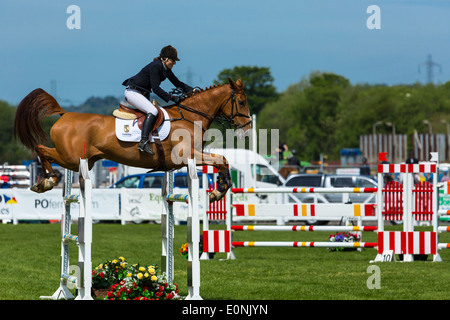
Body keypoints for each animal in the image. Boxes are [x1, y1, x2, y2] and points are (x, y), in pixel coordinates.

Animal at [14, 78, 251, 201]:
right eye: (241, 102)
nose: (247, 128)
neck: (190, 117)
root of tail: (64, 114)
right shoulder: (187, 156)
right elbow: (221, 159)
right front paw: (219, 191)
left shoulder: (191, 158)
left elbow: (222, 160)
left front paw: (220, 189)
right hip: (71, 158)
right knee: (41, 149)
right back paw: (47, 180)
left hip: (83, 161)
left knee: (43, 150)